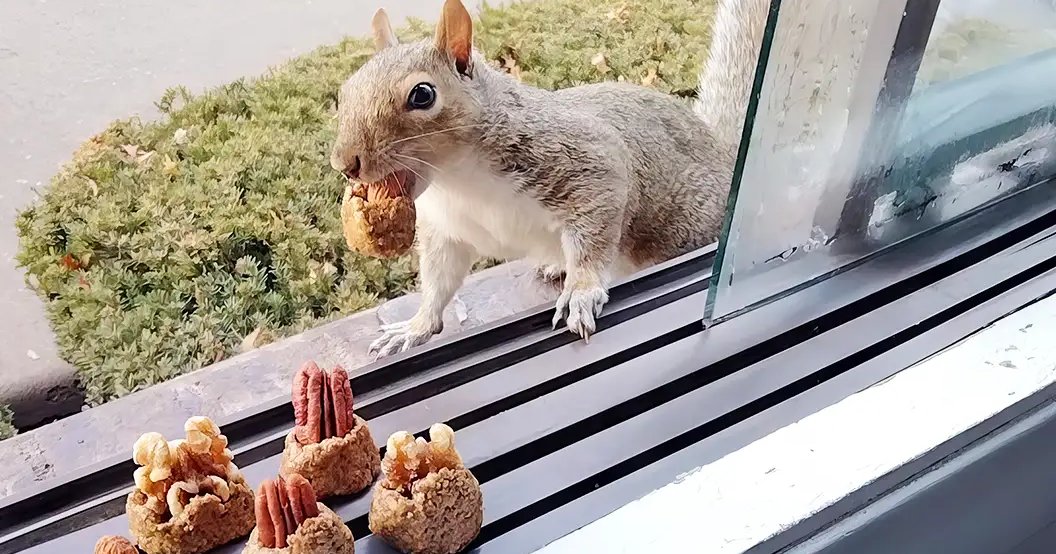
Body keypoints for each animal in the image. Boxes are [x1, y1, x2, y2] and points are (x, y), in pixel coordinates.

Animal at [330, 0, 767, 358]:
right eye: (345, 90)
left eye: (422, 95)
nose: (345, 163)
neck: (457, 181)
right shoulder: (448, 230)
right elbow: (440, 282)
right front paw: (415, 328)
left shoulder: (589, 164)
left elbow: (594, 236)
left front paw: (582, 291)